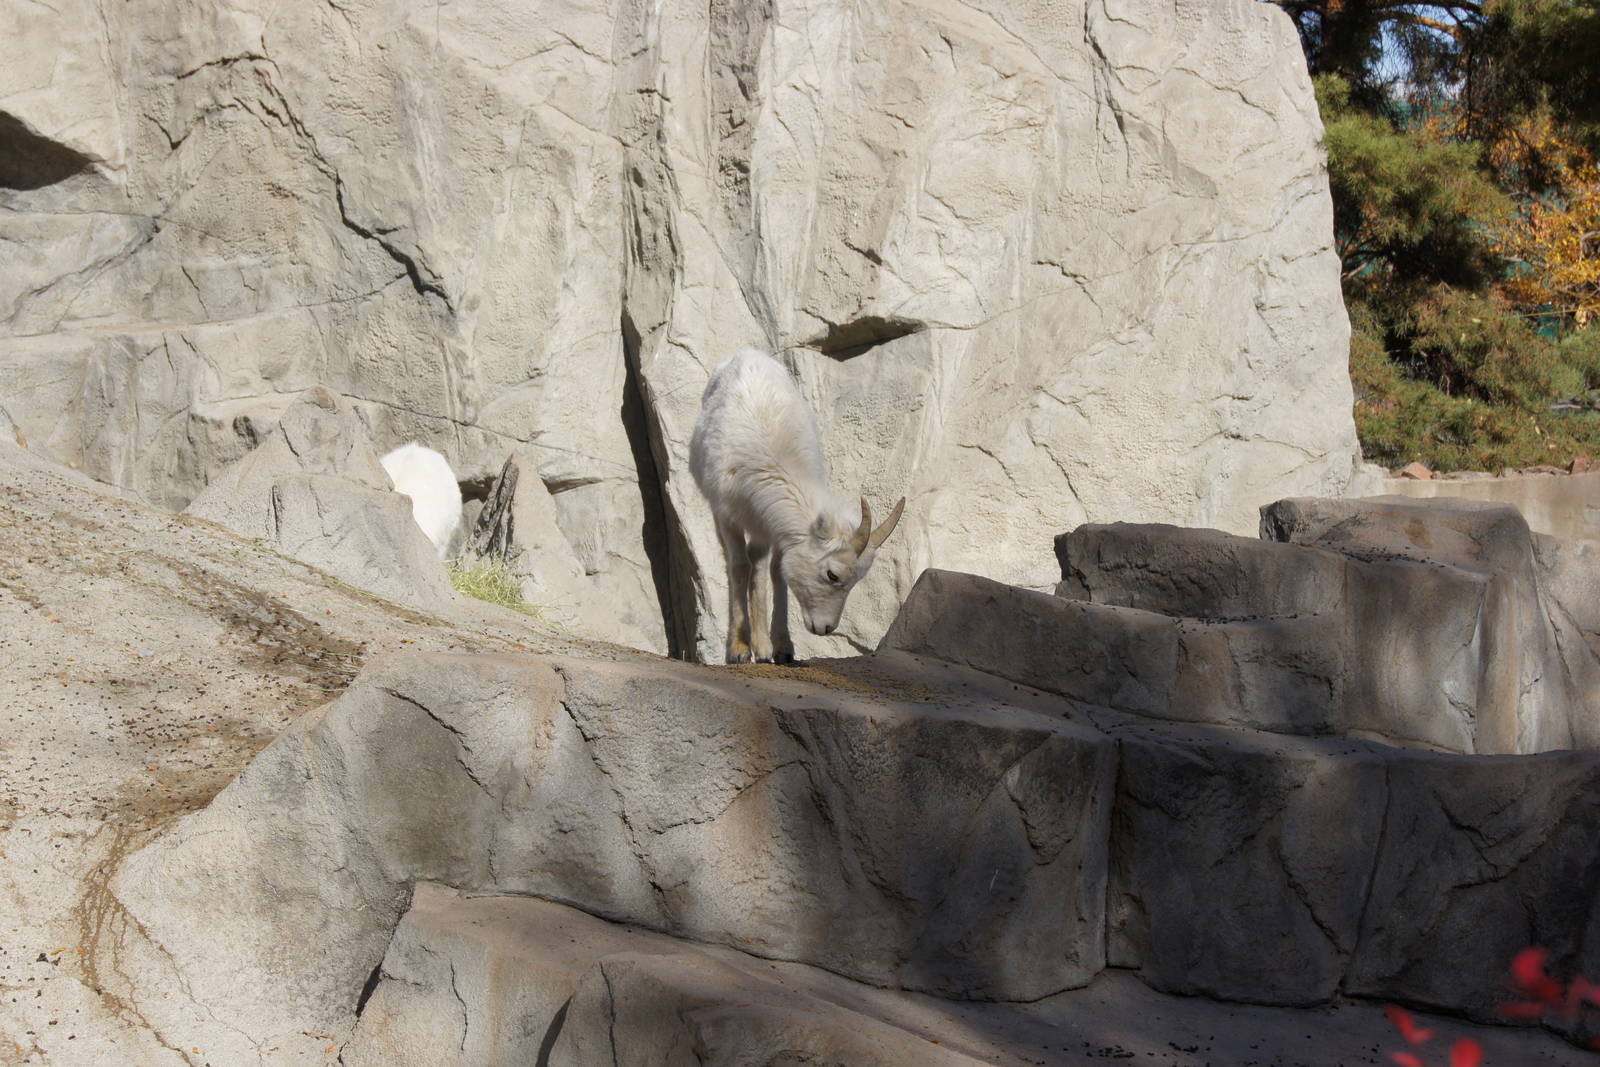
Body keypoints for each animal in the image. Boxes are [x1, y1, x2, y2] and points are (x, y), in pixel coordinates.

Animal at [689, 347, 905, 664]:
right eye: (832, 574)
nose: (825, 628)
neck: (772, 455)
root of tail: (747, 352)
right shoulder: (728, 515)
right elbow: (738, 566)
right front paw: (738, 651)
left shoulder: (778, 531)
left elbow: (777, 572)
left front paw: (782, 650)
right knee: (740, 563)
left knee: (759, 565)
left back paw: (763, 649)